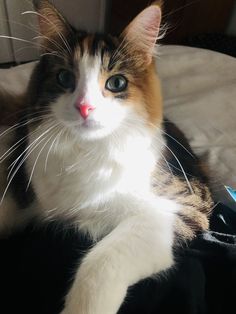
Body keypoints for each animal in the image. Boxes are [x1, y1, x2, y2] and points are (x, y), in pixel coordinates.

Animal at [0, 0, 214, 314]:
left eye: (116, 83)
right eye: (65, 78)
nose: (84, 107)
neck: (87, 152)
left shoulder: (179, 205)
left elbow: (101, 265)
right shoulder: (25, 190)